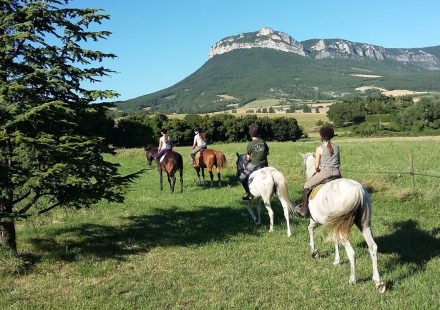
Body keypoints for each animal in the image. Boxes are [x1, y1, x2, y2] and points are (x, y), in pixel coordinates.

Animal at [300, 153, 384, 294]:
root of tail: (358, 190)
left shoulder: (314, 220)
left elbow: (310, 229)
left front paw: (314, 251)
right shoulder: (335, 225)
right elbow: (335, 240)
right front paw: (337, 260)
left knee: (352, 252)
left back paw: (352, 279)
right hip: (364, 225)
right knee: (373, 247)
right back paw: (378, 282)